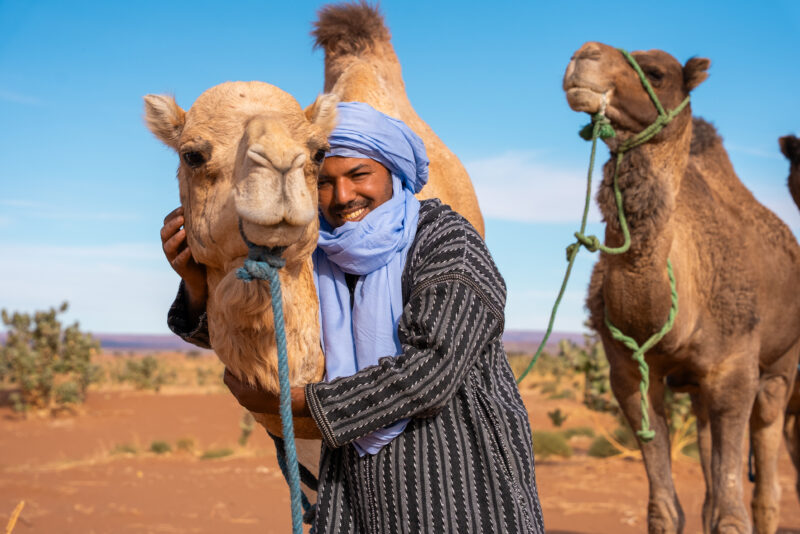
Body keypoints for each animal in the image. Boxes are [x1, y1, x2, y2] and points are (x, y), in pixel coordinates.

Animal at [563, 42, 800, 533]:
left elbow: (731, 515)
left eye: (655, 72)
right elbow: (664, 510)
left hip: (782, 365)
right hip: (698, 388)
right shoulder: (629, 373)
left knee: (766, 478)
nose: (584, 54)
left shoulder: (735, 370)